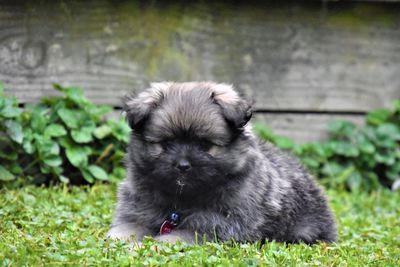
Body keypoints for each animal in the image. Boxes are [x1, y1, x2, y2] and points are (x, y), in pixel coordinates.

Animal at [108, 81, 336, 245]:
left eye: (204, 144)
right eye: (167, 143)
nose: (183, 166)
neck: (180, 202)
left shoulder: (214, 225)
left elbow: (174, 238)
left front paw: (150, 246)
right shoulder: (137, 213)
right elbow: (125, 230)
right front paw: (115, 242)